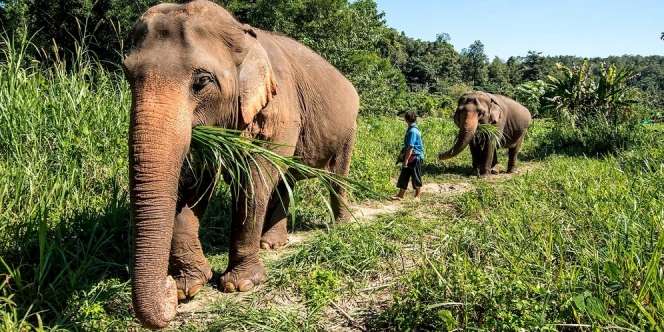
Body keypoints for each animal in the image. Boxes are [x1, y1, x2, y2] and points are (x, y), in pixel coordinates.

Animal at [119, 1, 358, 328]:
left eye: (201, 81)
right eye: (128, 75)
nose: (166, 288)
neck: (243, 33)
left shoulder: (280, 107)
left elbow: (254, 179)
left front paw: (240, 285)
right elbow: (194, 184)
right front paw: (188, 287)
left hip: (349, 128)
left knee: (336, 177)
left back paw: (341, 226)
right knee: (285, 179)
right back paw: (272, 245)